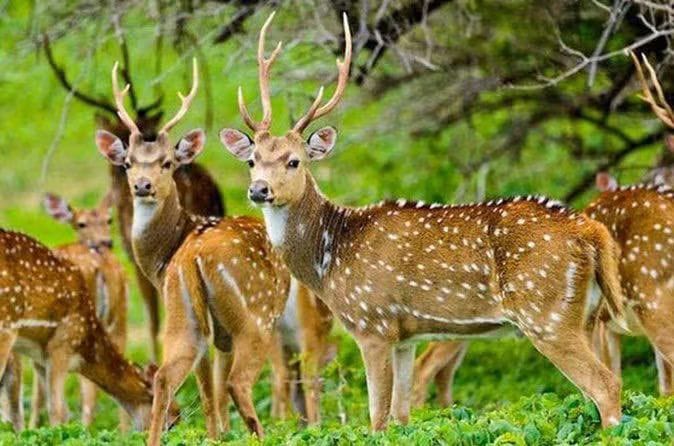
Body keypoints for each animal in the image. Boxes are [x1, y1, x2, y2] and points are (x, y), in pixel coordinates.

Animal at [0, 229, 177, 430]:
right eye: (171, 418)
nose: (176, 423)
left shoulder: (41, 357)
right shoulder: (61, 345)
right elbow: (58, 410)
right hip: (6, 326)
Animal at [94, 57, 306, 443]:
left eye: (166, 162)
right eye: (128, 162)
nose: (142, 186)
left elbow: (210, 387)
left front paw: (216, 434)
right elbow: (216, 385)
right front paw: (220, 433)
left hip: (192, 318)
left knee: (168, 376)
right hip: (258, 314)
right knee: (256, 377)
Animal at [220, 11, 628, 429]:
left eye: (294, 161)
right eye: (251, 160)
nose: (259, 190)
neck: (330, 259)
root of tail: (588, 230)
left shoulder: (373, 323)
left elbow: (377, 418)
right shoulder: (405, 336)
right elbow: (401, 416)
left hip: (546, 313)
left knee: (606, 386)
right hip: (587, 314)